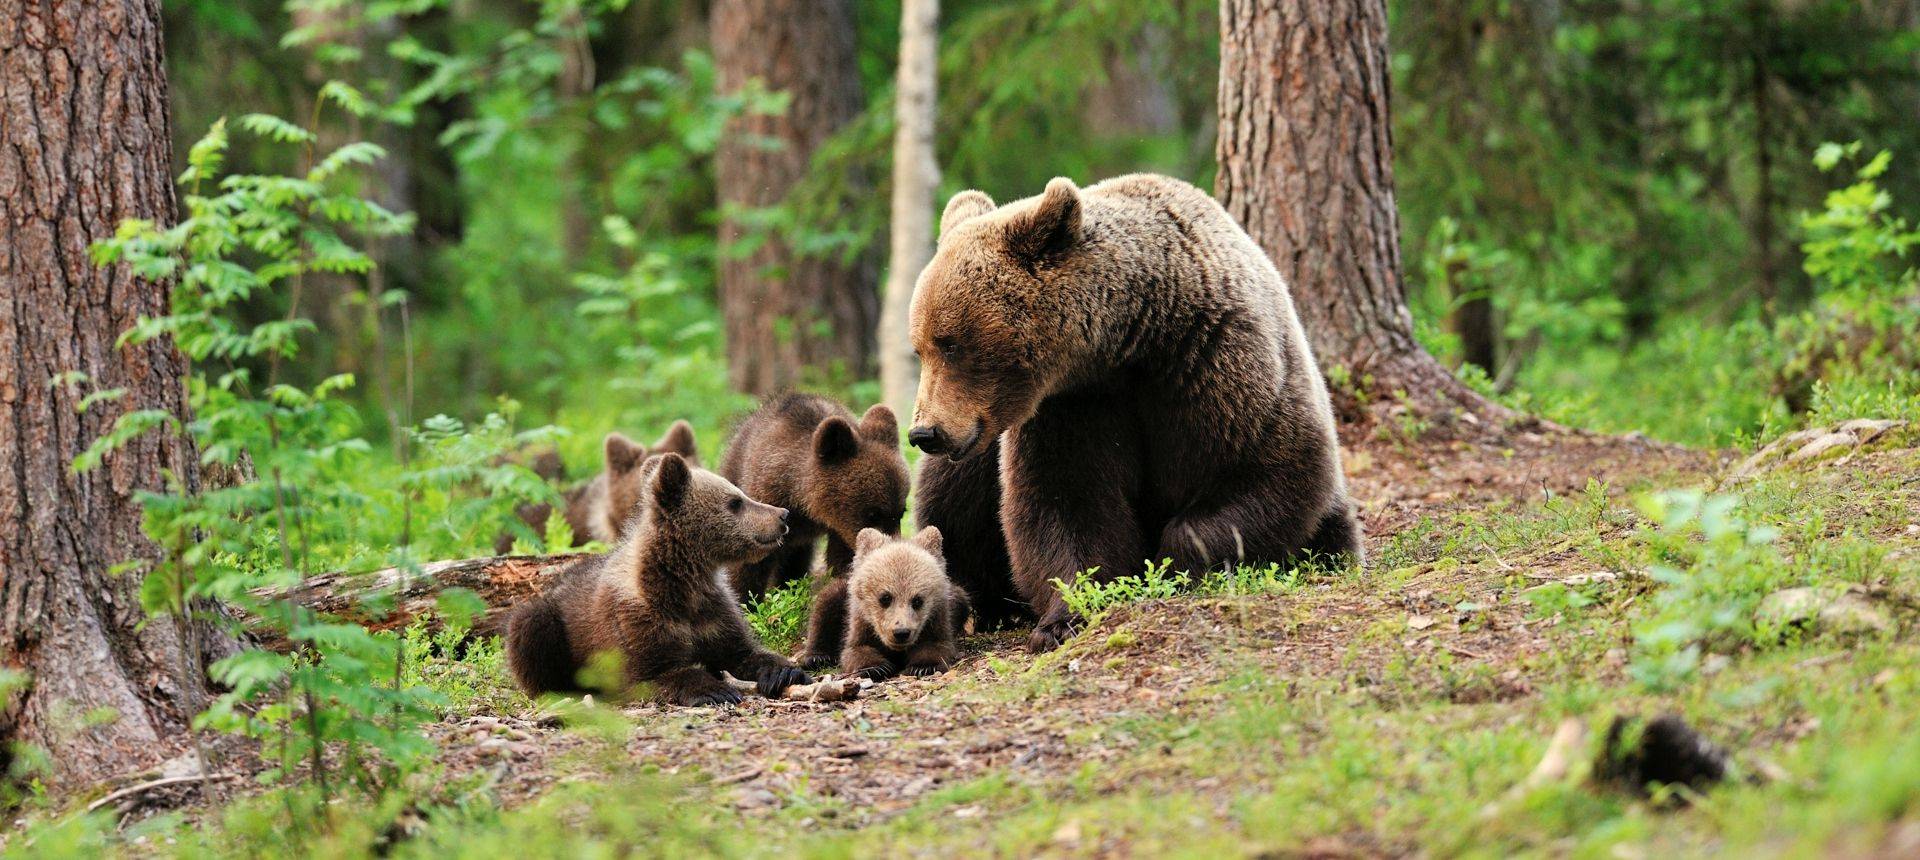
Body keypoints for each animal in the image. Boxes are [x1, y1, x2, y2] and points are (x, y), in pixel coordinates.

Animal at [906, 174, 1359, 652]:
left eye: (951, 344)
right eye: (920, 347)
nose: (925, 433)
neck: (1133, 341)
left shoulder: (1220, 363)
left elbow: (1265, 469)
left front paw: (1175, 566)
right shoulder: (1072, 407)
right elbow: (1066, 501)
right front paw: (1064, 617)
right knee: (952, 499)